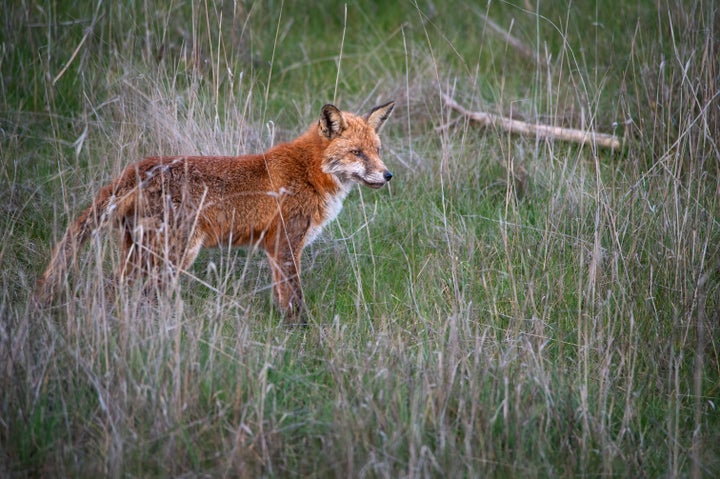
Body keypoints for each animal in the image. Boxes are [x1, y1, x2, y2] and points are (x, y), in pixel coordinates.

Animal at [37, 101, 396, 326]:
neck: (309, 171)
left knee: (113, 288)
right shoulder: (285, 244)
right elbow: (294, 298)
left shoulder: (274, 248)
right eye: (357, 153)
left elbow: (283, 297)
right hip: (174, 255)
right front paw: (302, 332)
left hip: (140, 256)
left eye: (377, 151)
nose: (388, 175)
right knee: (137, 294)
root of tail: (138, 167)